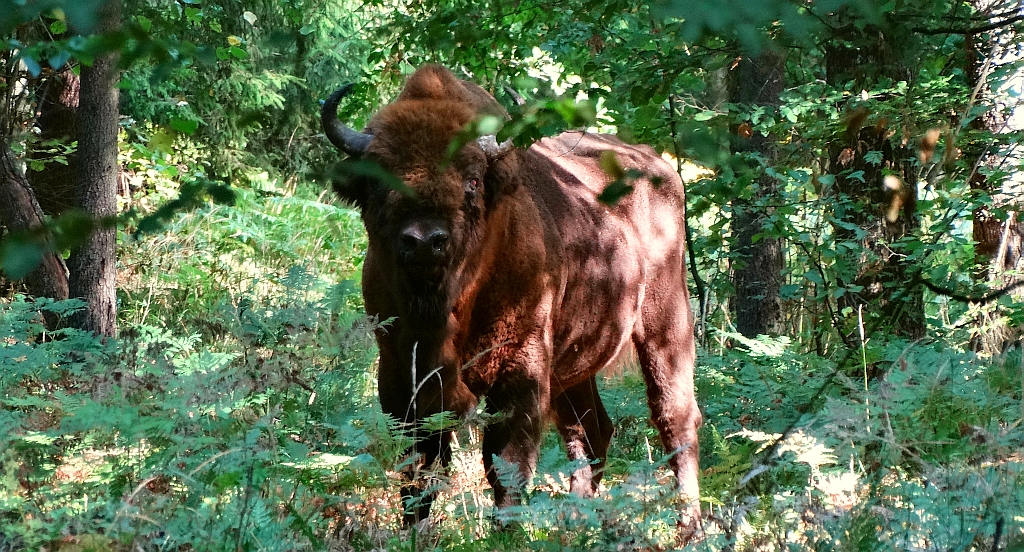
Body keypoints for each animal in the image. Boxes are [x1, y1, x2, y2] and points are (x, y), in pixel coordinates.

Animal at [321, 65, 701, 534]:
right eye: (379, 181)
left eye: (472, 179)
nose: (425, 241)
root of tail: (659, 166)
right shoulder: (399, 373)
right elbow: (419, 467)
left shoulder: (521, 367)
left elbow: (505, 463)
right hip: (575, 363)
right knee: (590, 431)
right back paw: (575, 522)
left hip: (666, 328)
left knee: (675, 420)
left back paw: (690, 526)